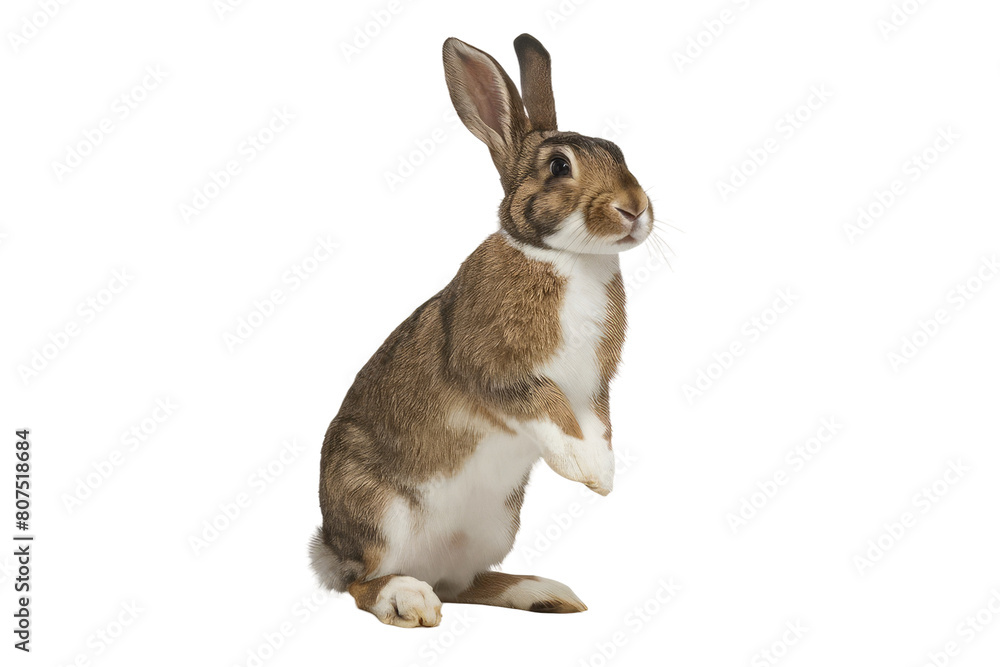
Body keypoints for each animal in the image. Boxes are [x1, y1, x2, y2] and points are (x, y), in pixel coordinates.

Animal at [310, 33, 653, 628]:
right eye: (559, 166)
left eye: (618, 152)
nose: (634, 209)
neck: (566, 257)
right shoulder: (497, 370)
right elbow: (546, 406)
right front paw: (583, 466)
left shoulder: (594, 387)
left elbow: (600, 424)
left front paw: (602, 473)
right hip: (378, 511)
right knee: (364, 582)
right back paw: (408, 600)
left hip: (494, 526)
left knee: (463, 584)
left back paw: (544, 592)